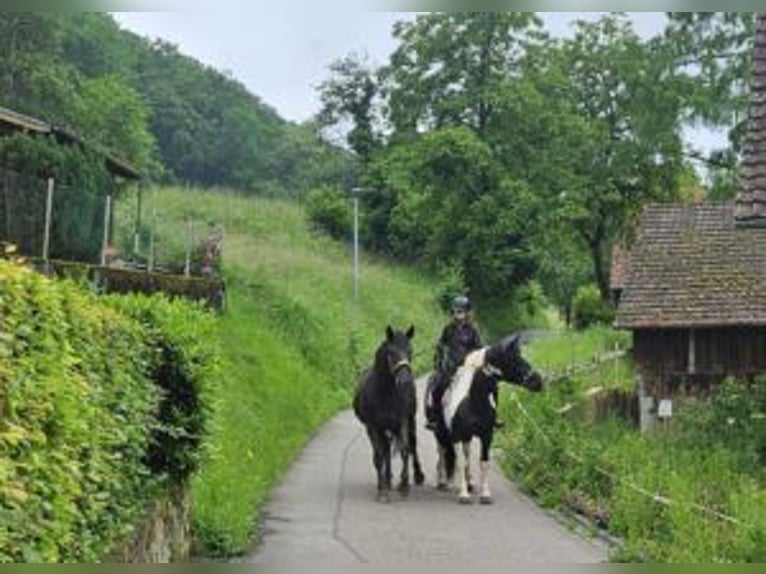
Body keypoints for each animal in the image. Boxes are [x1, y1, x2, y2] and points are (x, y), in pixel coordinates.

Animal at [354, 328, 426, 504]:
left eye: (410, 351)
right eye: (391, 353)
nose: (406, 380)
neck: (385, 392)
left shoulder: (402, 422)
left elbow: (405, 450)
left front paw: (404, 487)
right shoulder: (373, 426)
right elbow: (379, 456)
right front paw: (382, 491)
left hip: (409, 422)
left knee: (412, 445)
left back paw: (417, 476)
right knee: (385, 449)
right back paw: (386, 480)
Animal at [432, 336, 544, 506]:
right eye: (514, 360)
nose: (538, 381)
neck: (473, 404)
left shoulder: (486, 436)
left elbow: (483, 462)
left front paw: (485, 494)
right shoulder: (456, 436)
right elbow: (461, 462)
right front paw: (464, 495)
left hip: (467, 437)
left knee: (466, 454)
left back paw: (469, 482)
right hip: (443, 434)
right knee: (443, 453)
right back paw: (442, 482)